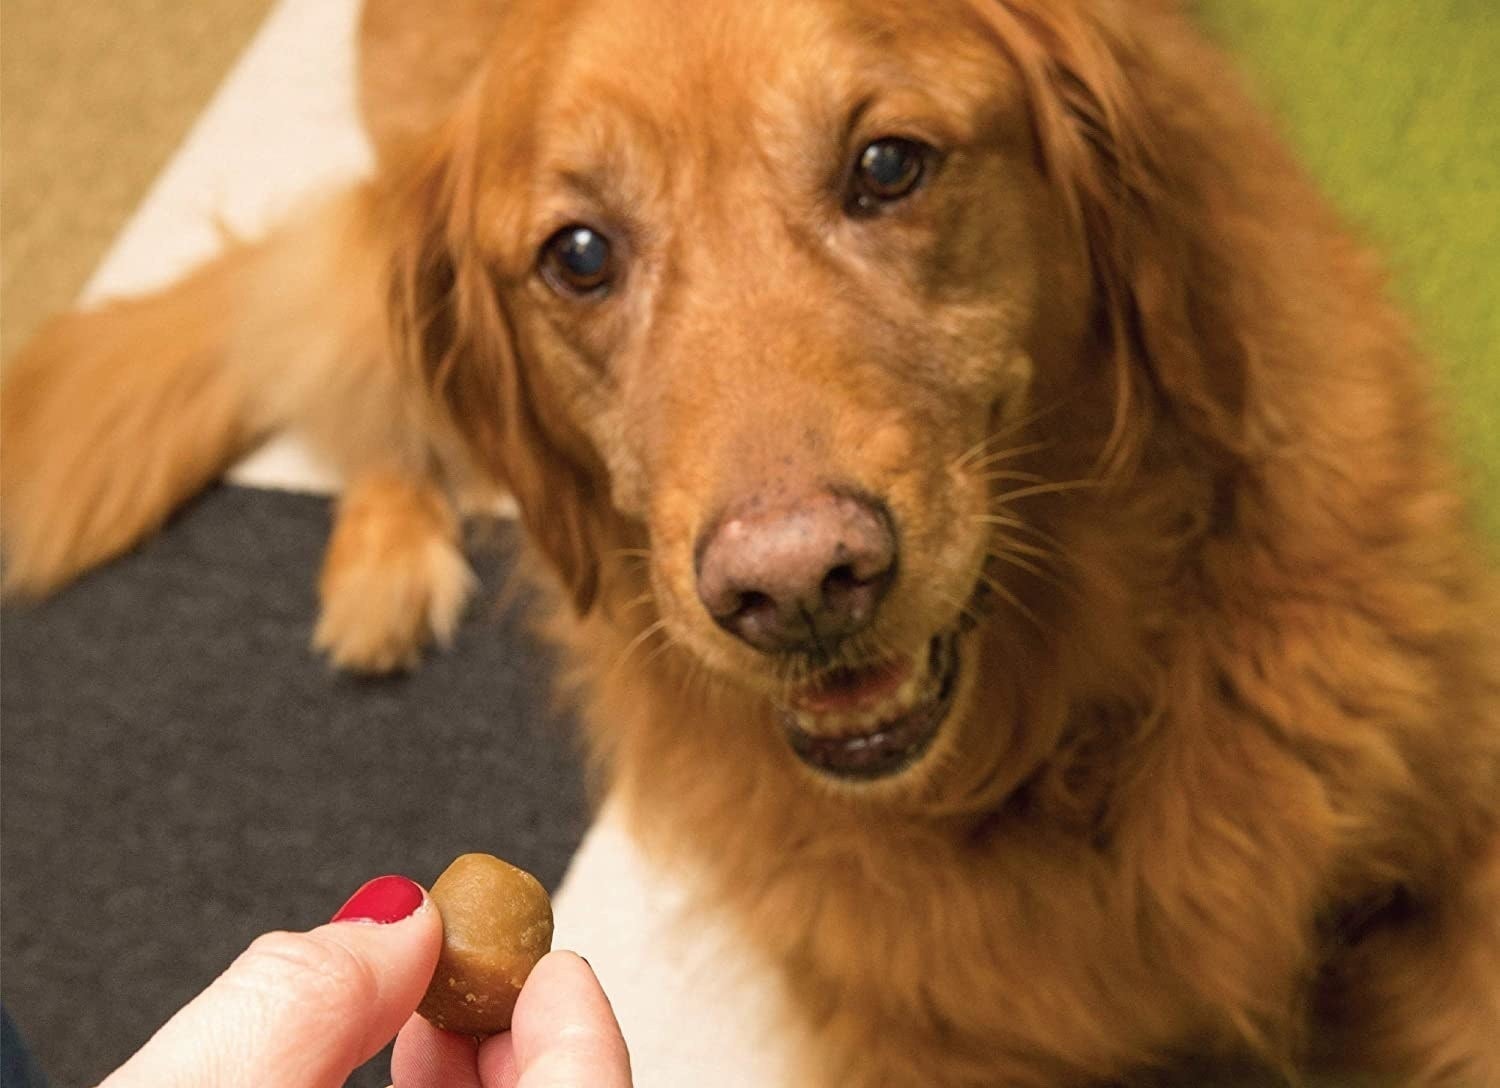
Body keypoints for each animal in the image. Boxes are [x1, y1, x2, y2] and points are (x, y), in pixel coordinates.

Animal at [2, 2, 1500, 1080]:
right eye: (580, 254)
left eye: (888, 165)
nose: (798, 584)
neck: (1055, 747)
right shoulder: (917, 1031)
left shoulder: (1457, 861)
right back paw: (378, 564)